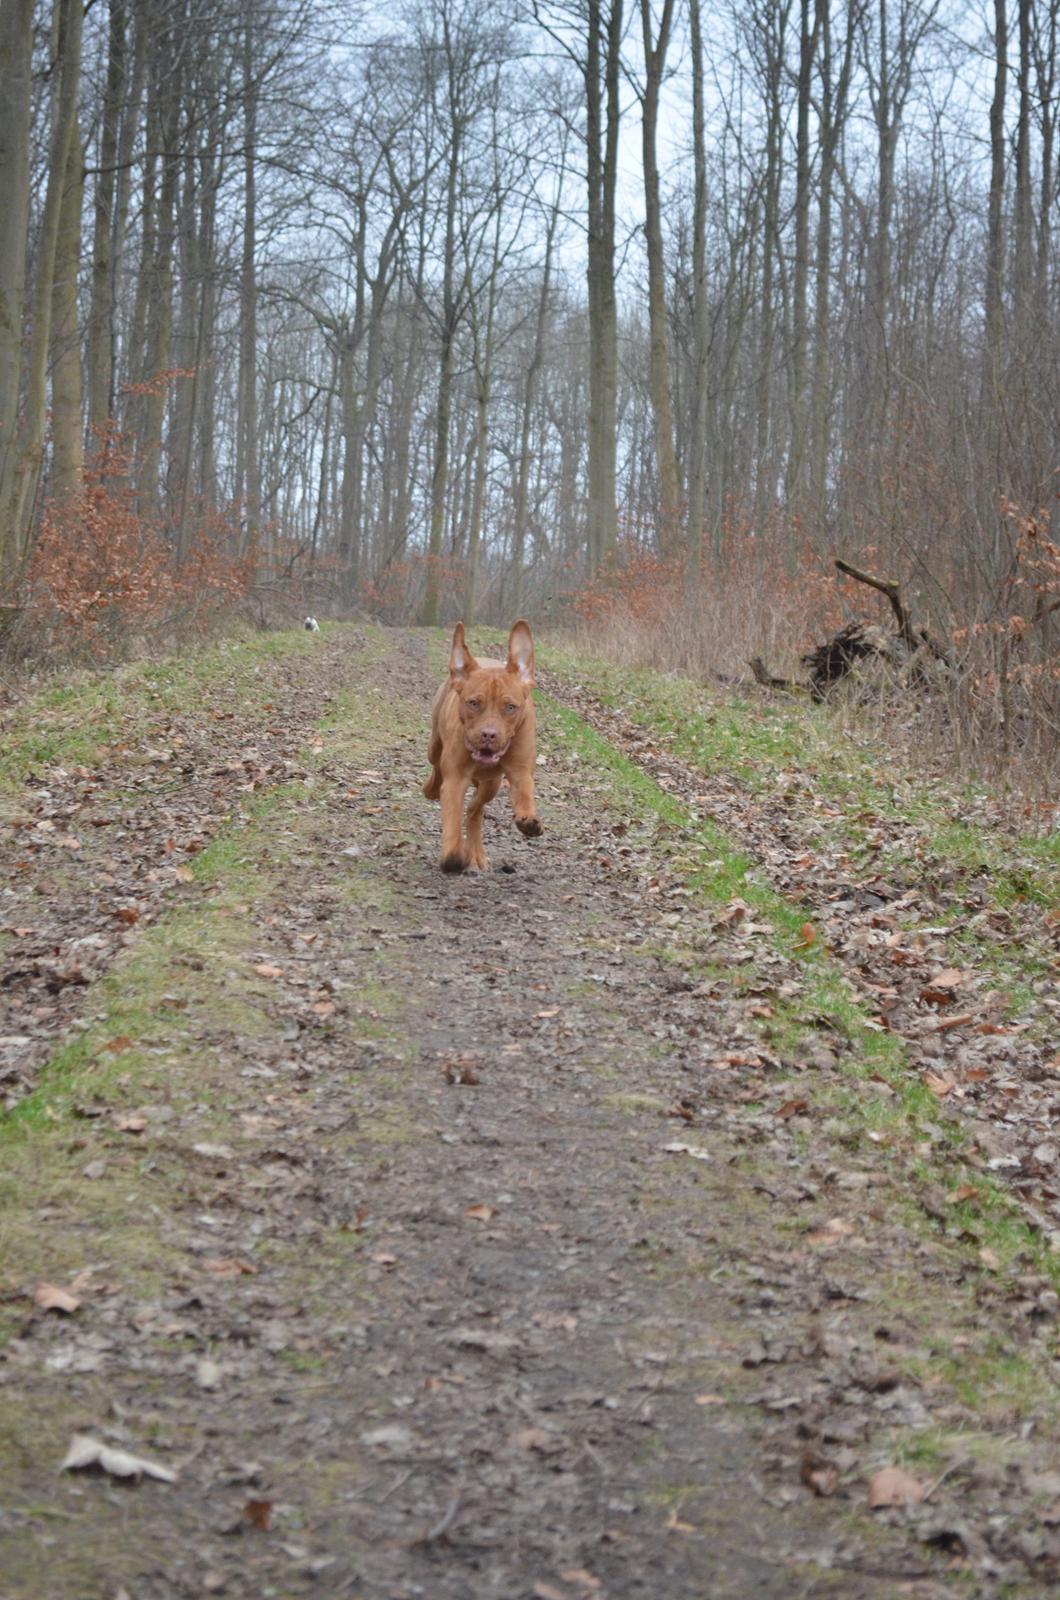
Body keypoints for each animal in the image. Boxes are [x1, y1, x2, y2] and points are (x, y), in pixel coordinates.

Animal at [425, 620, 544, 876]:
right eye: (473, 703)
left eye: (510, 707)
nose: (488, 735)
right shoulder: (455, 779)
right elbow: (452, 816)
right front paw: (453, 857)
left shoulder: (520, 771)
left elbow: (524, 792)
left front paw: (528, 820)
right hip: (434, 745)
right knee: (436, 768)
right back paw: (430, 789)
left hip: (493, 782)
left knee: (474, 809)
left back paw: (476, 853)